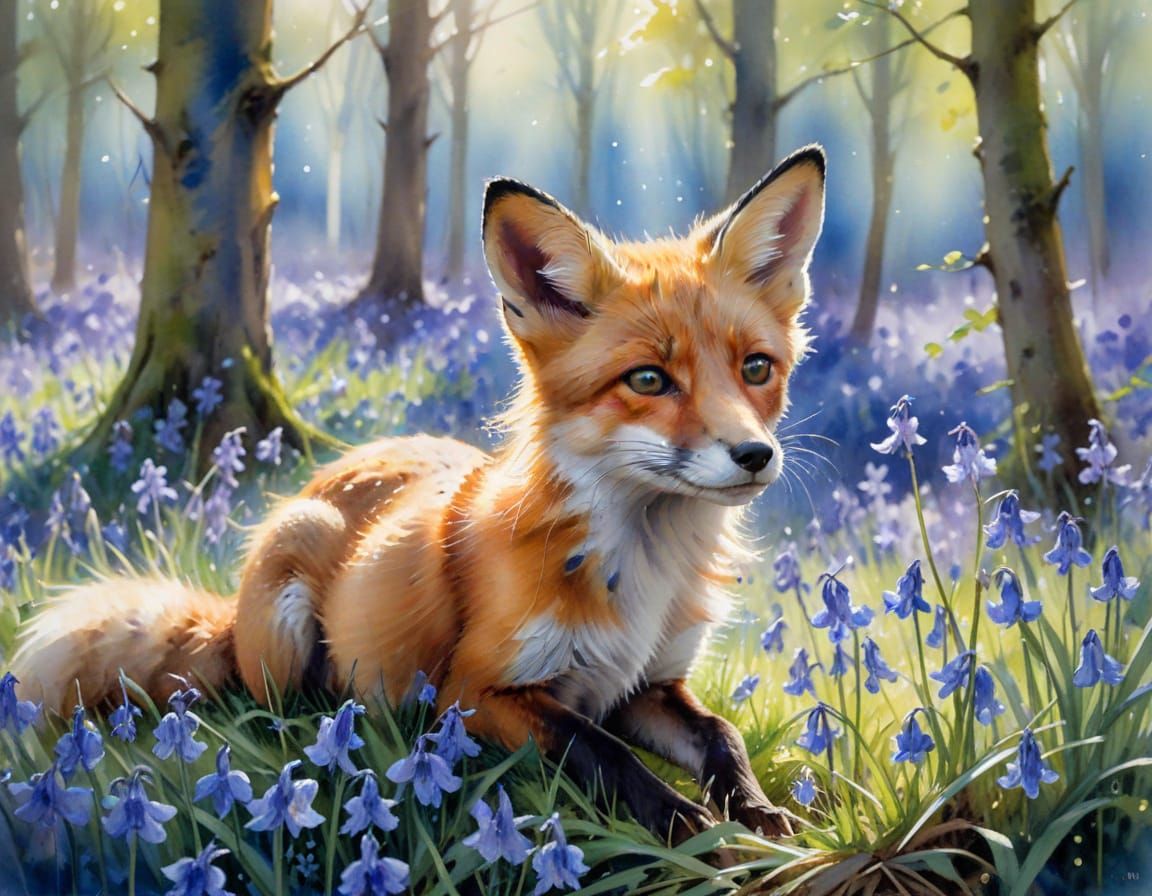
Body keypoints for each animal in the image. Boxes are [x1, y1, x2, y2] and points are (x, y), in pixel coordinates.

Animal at [14, 145, 826, 842]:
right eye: (649, 380)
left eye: (756, 368)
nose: (755, 455)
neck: (642, 570)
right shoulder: (480, 689)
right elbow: (598, 750)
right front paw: (687, 825)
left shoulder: (647, 684)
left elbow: (722, 737)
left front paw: (759, 815)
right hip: (289, 605)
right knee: (267, 701)